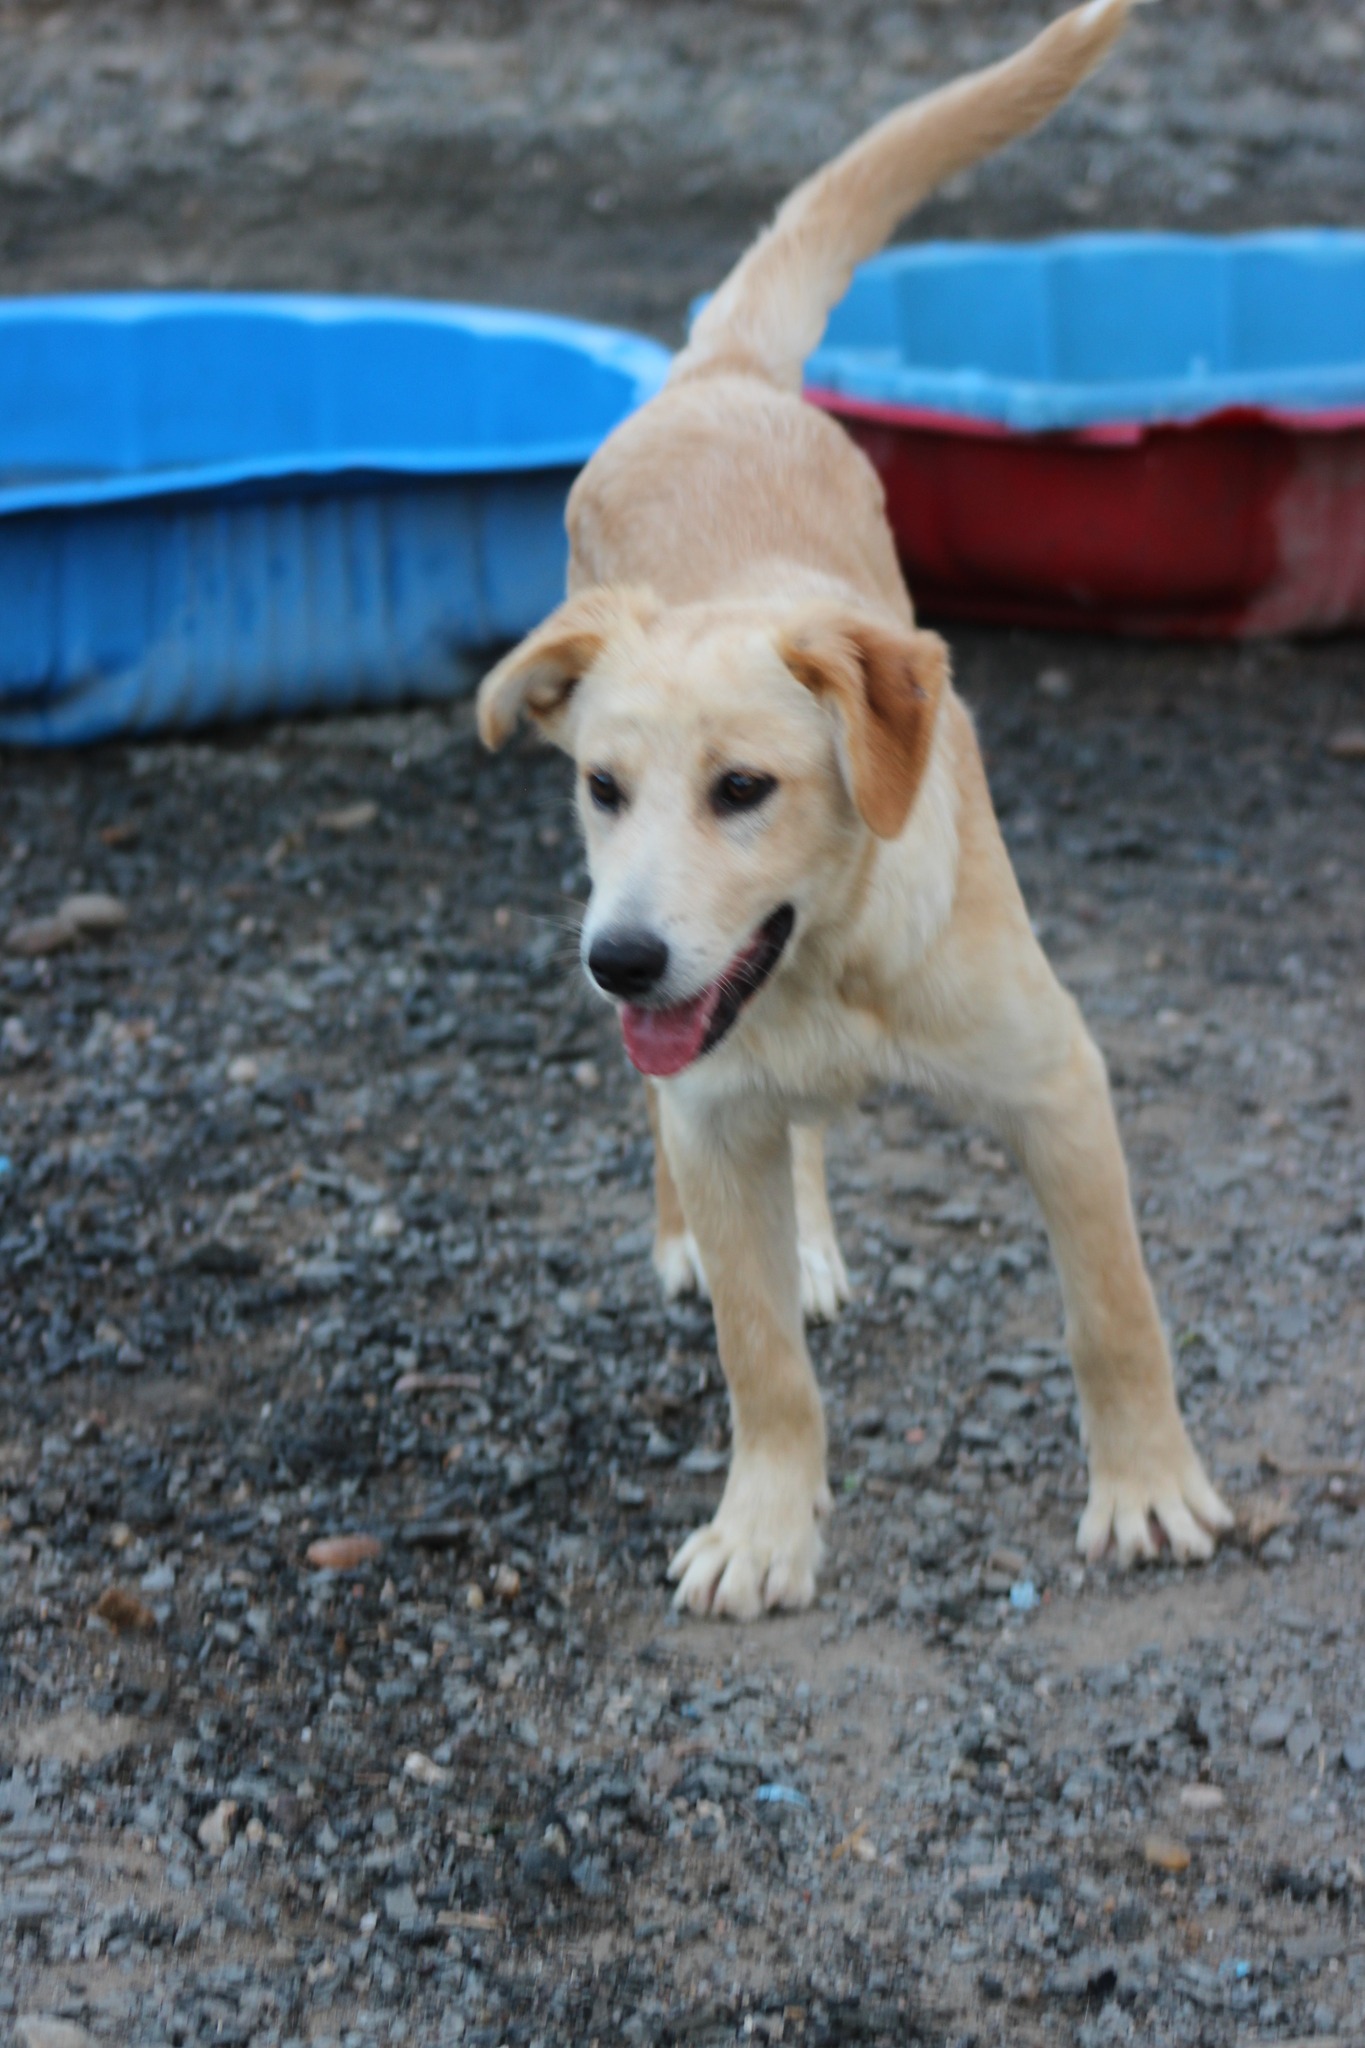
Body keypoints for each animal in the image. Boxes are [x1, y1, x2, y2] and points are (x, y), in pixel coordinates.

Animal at [477, 0, 1234, 1619]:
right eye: (603, 787)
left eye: (745, 790)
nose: (617, 962)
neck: (827, 964)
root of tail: (719, 377)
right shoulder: (708, 1093)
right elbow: (762, 1360)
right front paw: (764, 1526)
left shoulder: (1057, 1085)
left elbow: (1114, 1314)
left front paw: (1146, 1492)